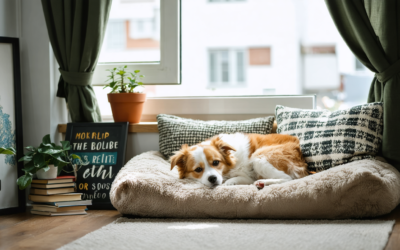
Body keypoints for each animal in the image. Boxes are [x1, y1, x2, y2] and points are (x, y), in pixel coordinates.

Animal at [170, 133, 308, 188]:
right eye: (198, 169)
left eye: (216, 162)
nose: (213, 178)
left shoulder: (248, 176)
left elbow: (235, 179)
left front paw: (229, 183)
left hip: (258, 157)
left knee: (288, 179)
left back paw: (262, 182)